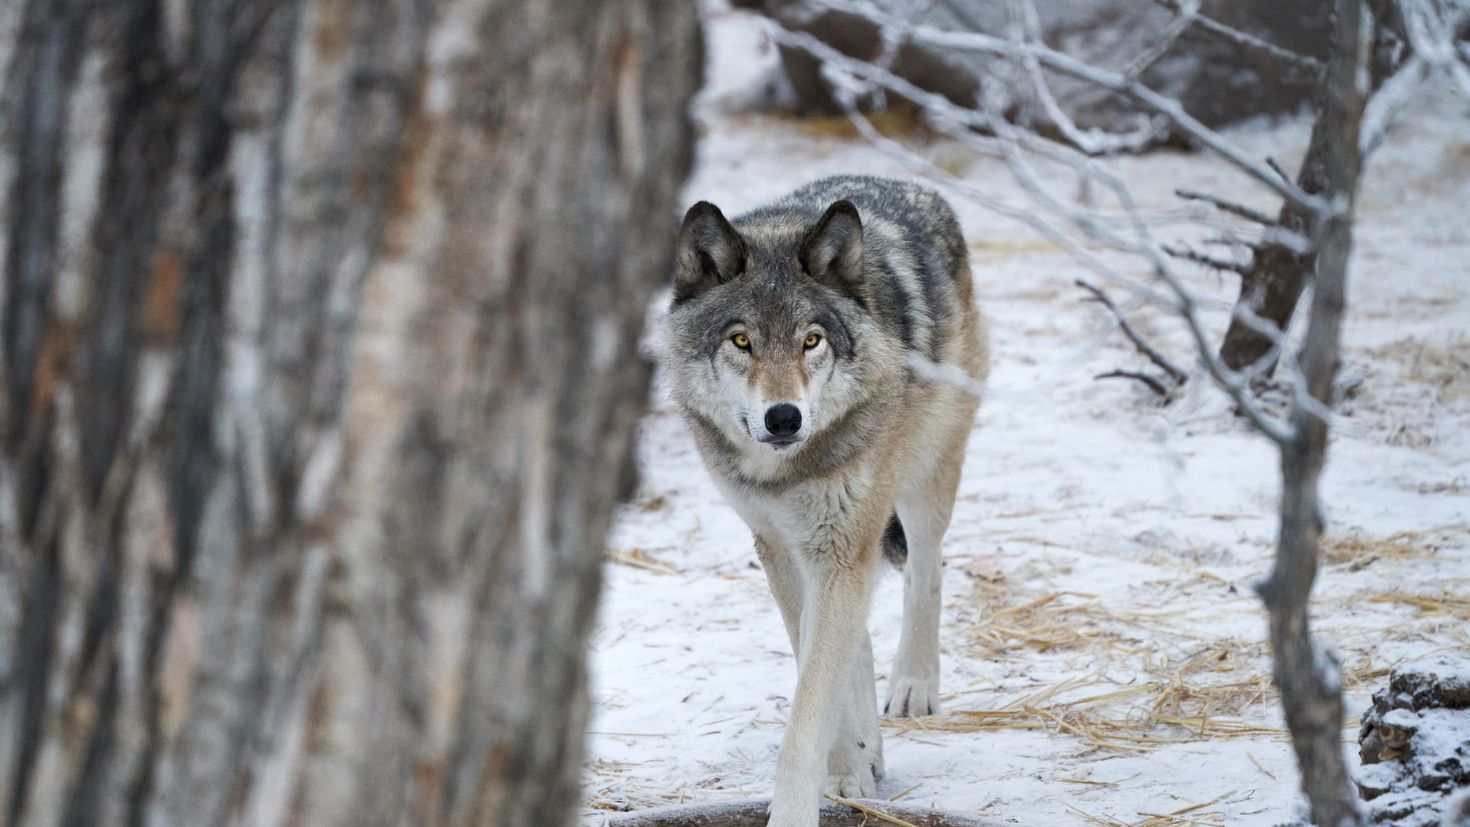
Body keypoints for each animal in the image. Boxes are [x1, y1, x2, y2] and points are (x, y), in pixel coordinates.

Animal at [664, 171, 987, 822]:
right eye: (741, 341)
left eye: (812, 340)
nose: (784, 417)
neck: (785, 472)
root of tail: (905, 183)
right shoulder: (780, 547)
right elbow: (819, 674)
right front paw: (847, 770)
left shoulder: (839, 546)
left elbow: (808, 711)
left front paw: (797, 809)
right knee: (857, 638)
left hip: (924, 480)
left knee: (926, 572)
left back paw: (914, 685)